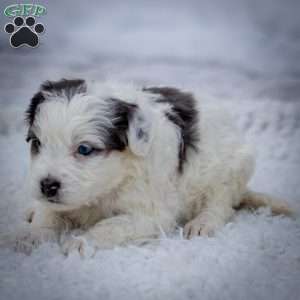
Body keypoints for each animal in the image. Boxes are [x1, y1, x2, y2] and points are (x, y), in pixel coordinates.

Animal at [17, 78, 290, 254]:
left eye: (84, 149)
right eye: (37, 143)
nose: (47, 186)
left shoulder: (152, 213)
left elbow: (112, 224)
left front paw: (81, 242)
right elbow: (48, 214)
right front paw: (30, 235)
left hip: (232, 169)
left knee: (220, 205)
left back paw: (202, 223)